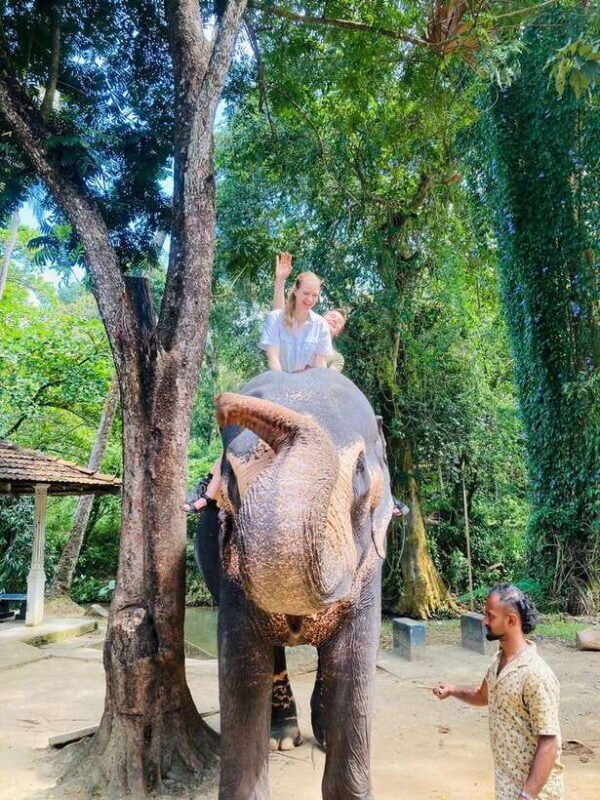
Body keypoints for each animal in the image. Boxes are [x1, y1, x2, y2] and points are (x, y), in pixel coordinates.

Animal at [196, 368, 393, 800]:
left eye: (359, 473)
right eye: (230, 479)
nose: (223, 402)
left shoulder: (372, 563)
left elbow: (354, 660)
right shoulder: (229, 569)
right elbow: (241, 662)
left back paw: (322, 733)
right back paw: (283, 738)